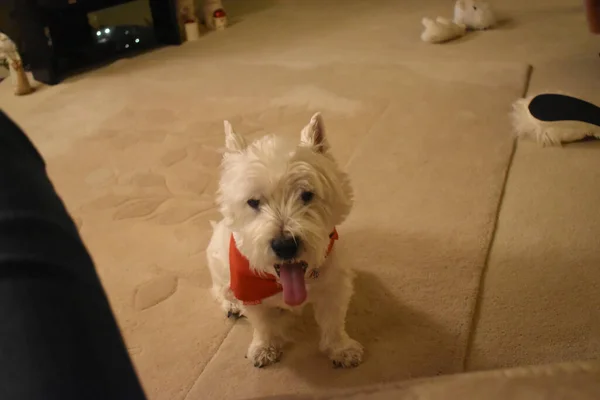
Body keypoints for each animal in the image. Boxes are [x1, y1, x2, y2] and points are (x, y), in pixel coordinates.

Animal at [204, 112, 364, 368]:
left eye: (307, 195)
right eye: (253, 202)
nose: (285, 246)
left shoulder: (334, 286)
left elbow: (333, 322)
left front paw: (342, 349)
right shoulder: (250, 293)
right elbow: (263, 325)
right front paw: (264, 349)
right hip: (218, 264)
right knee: (220, 289)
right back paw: (231, 305)